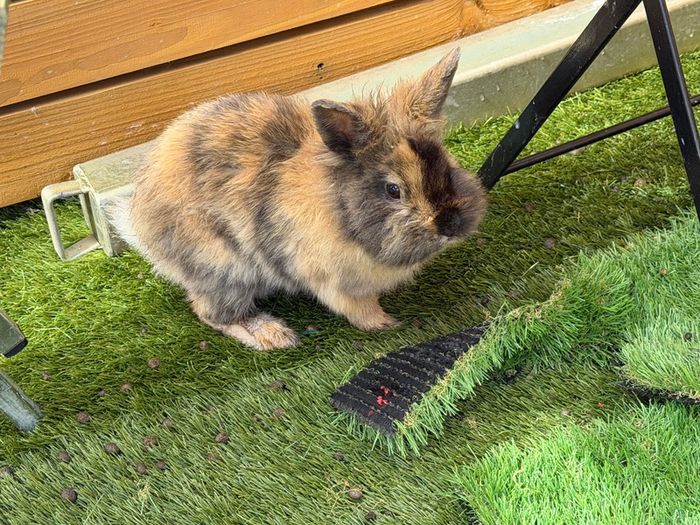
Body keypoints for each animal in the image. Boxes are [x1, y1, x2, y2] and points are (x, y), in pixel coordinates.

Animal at [113, 47, 487, 350]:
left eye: (447, 164)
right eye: (393, 190)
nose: (450, 224)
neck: (339, 208)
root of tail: (141, 225)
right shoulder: (332, 281)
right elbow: (359, 308)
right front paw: (385, 323)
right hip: (224, 270)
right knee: (210, 313)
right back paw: (273, 336)